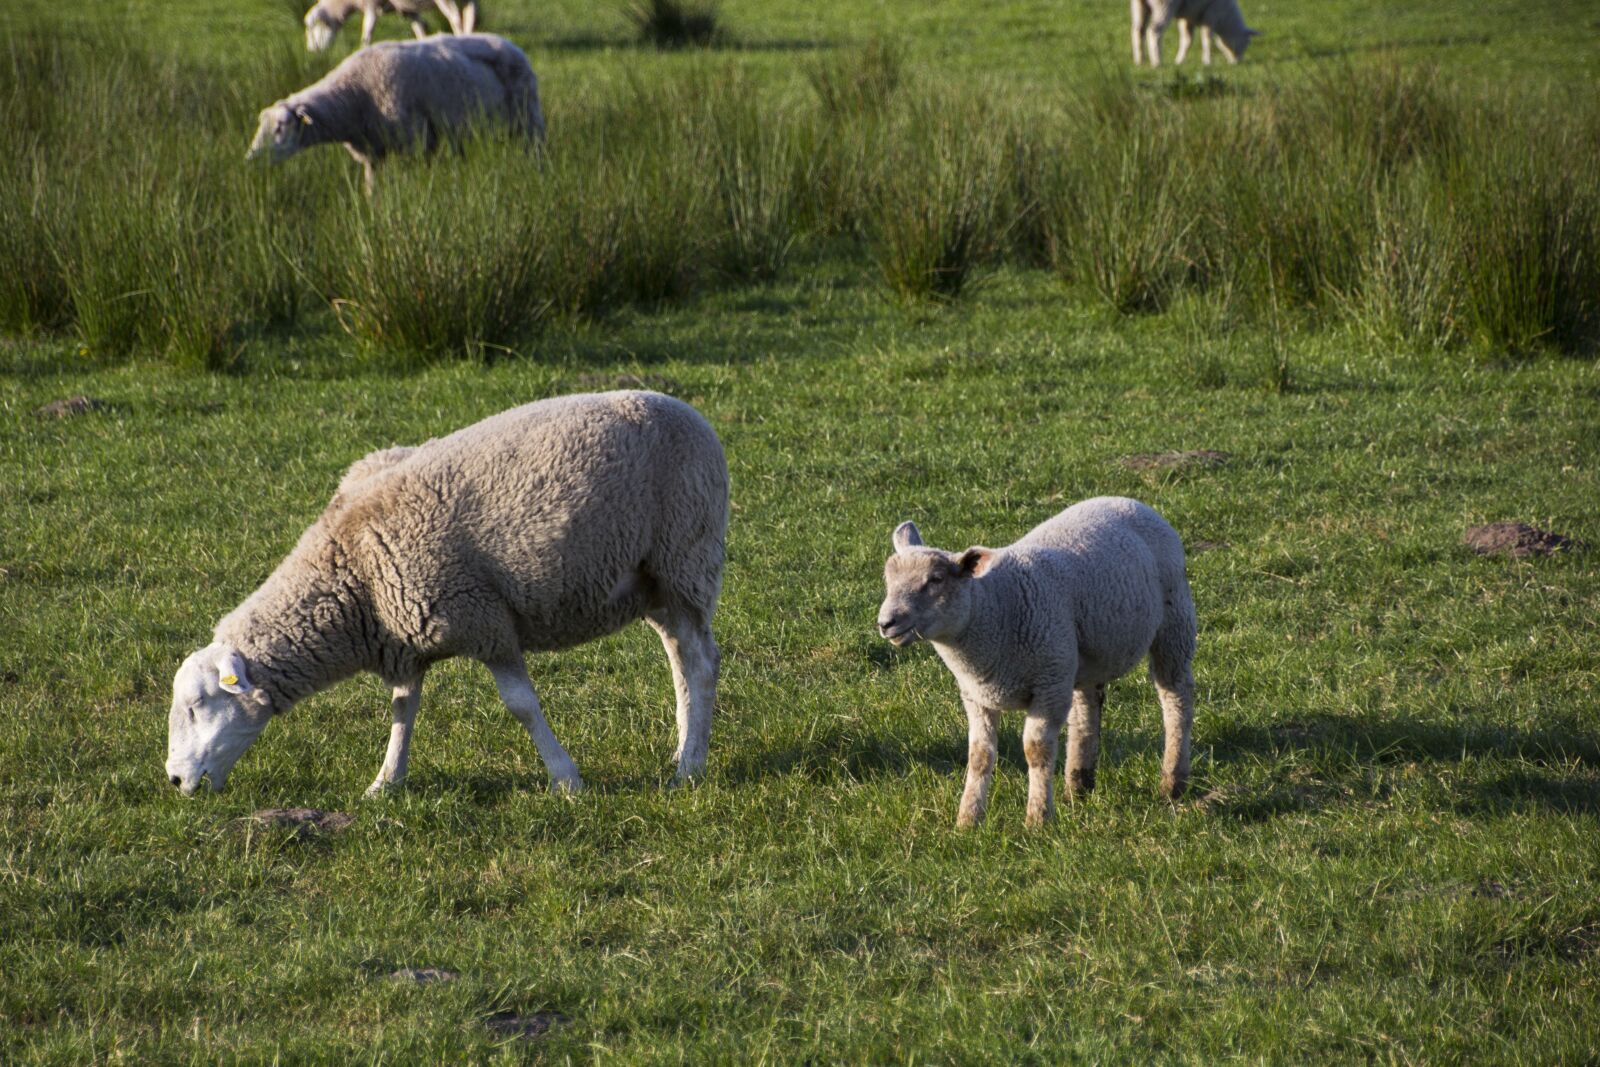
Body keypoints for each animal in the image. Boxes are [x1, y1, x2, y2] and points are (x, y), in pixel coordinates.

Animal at [164, 391, 728, 800]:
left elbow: (521, 706)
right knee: (679, 660)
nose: (173, 780)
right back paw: (684, 748)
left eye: (197, 705)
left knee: (701, 663)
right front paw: (385, 784)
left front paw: (566, 780)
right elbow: (402, 711)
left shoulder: (484, 619)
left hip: (686, 556)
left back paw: (690, 769)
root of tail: (684, 407)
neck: (354, 575)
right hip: (651, 582)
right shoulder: (404, 636)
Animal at [246, 33, 543, 191]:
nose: (252, 159)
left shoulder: (416, 142)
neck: (354, 96)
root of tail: (510, 44)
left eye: (281, 127)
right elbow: (372, 192)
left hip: (528, 120)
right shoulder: (372, 154)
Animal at [303, 1, 478, 52]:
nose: (311, 50)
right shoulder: (405, 9)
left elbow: (367, 35)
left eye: (311, 29)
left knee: (455, 18)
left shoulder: (371, 7)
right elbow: (420, 26)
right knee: (470, 17)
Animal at [876, 497, 1196, 829]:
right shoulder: (977, 696)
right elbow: (979, 755)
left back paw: (1172, 781)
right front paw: (967, 820)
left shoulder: (1047, 686)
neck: (996, 608)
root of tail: (1128, 501)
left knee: (1176, 697)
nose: (886, 623)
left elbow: (1036, 750)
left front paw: (1037, 819)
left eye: (936, 579)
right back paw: (1077, 786)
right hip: (1077, 656)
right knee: (1086, 711)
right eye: (888, 580)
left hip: (1173, 622)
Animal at [1131, 0, 1260, 67]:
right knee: (1154, 31)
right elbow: (1207, 38)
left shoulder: (1187, 18)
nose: (1237, 63)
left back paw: (1140, 61)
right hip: (1163, 5)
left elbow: (1187, 40)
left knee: (1138, 31)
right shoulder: (1211, 14)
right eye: (1247, 43)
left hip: (1139, 6)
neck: (1226, 20)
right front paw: (1207, 61)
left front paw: (1179, 61)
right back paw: (1156, 61)